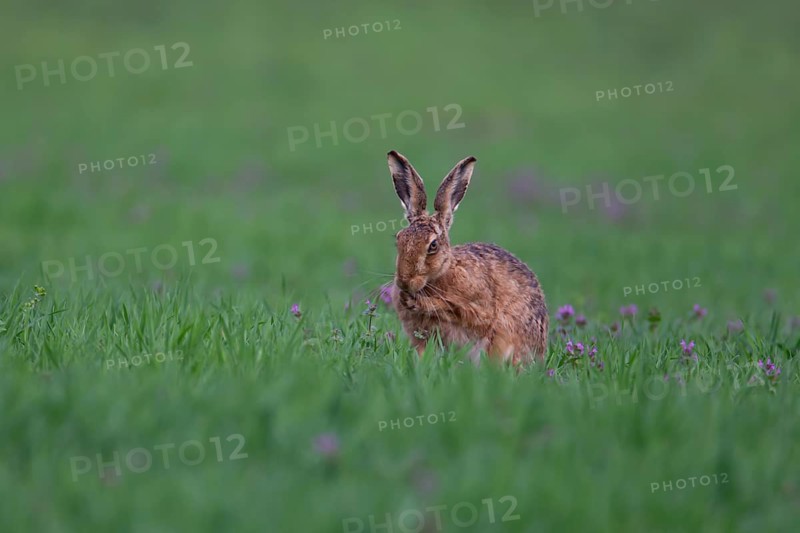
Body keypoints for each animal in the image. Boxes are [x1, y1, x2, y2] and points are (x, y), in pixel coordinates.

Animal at [386, 150, 548, 366]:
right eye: (399, 239)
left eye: (433, 246)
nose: (404, 282)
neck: (439, 275)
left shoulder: (478, 307)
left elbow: (455, 309)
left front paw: (418, 302)